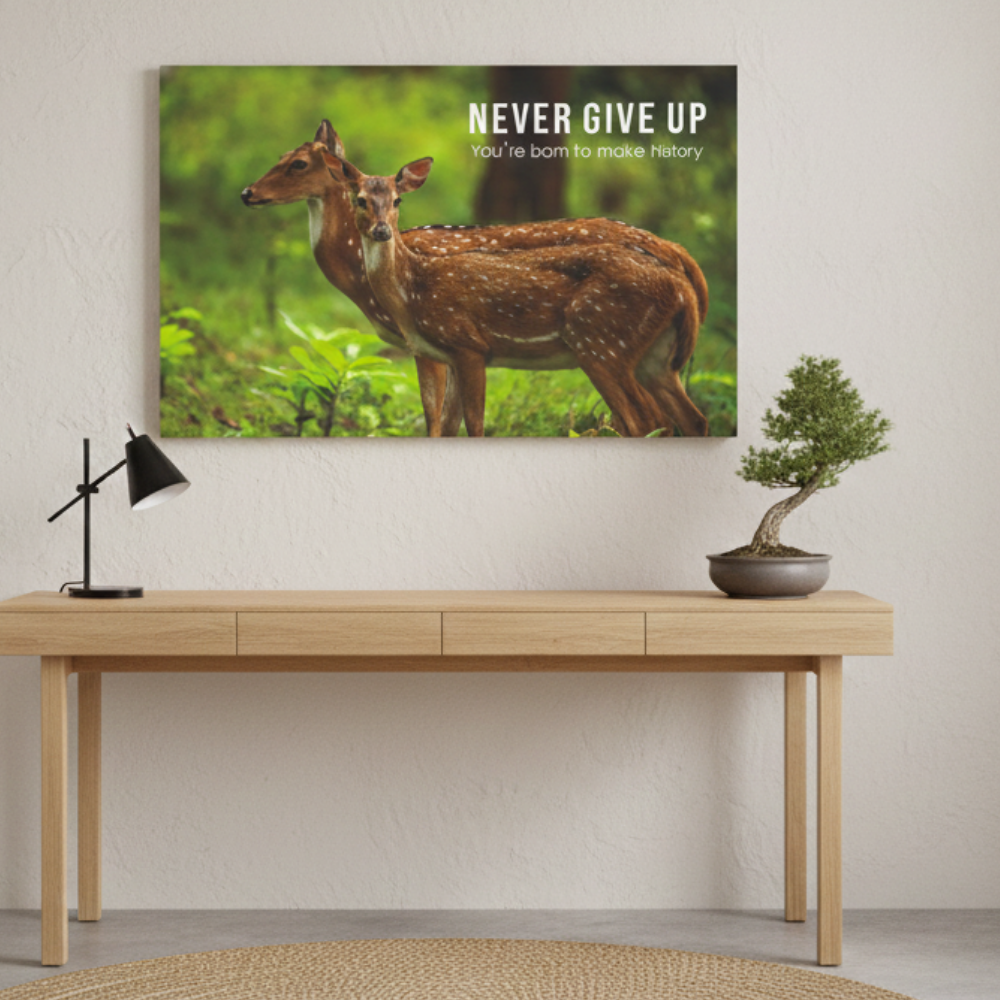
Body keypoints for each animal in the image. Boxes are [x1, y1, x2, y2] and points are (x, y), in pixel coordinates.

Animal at [241, 121, 709, 436]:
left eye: (298, 163)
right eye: (280, 156)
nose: (247, 193)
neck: (359, 276)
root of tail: (677, 254)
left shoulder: (435, 345)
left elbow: (436, 420)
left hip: (602, 347)